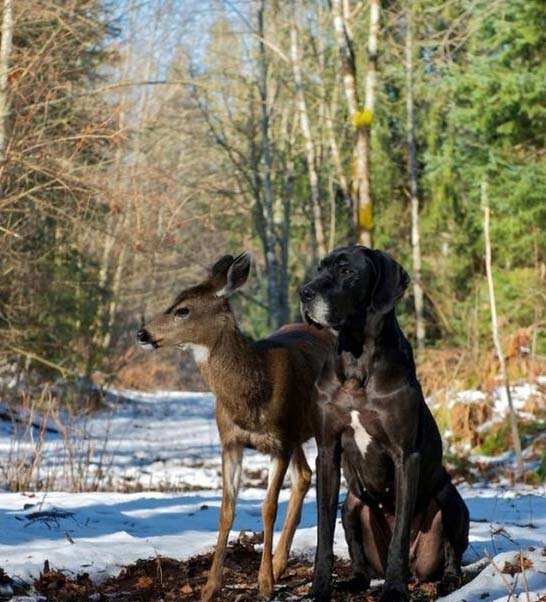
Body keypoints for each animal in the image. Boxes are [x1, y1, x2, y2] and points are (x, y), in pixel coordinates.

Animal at [135, 250, 332, 600]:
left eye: (182, 309)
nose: (142, 333)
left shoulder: (279, 442)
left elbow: (268, 507)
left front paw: (264, 584)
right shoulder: (231, 441)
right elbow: (226, 509)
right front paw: (210, 587)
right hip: (297, 432)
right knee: (305, 475)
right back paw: (280, 562)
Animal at [298, 245, 468, 600]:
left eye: (346, 271)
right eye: (320, 268)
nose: (304, 292)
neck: (357, 361)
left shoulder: (406, 456)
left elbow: (400, 536)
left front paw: (394, 589)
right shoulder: (327, 450)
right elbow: (323, 534)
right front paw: (319, 588)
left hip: (449, 497)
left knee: (452, 551)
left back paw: (447, 580)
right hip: (352, 505)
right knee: (359, 555)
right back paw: (355, 580)